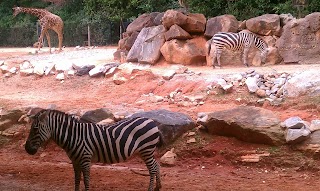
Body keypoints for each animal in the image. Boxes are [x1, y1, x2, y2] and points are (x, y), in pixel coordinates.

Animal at [24, 109, 162, 191]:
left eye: (35, 129)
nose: (27, 149)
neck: (74, 136)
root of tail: (151, 121)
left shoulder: (85, 159)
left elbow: (85, 180)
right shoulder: (75, 161)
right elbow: (76, 179)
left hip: (146, 150)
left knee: (152, 168)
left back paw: (151, 189)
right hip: (144, 152)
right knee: (156, 165)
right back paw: (158, 186)